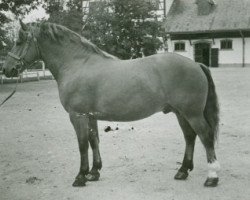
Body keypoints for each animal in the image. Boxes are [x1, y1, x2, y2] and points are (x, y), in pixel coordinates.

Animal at [1, 20, 221, 188]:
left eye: (19, 41)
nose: (7, 69)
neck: (77, 64)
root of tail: (196, 64)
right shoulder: (90, 116)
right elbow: (94, 141)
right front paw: (94, 173)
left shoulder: (77, 116)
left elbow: (82, 144)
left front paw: (80, 177)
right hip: (180, 113)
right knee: (190, 137)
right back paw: (183, 171)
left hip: (192, 113)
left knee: (205, 136)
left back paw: (212, 177)